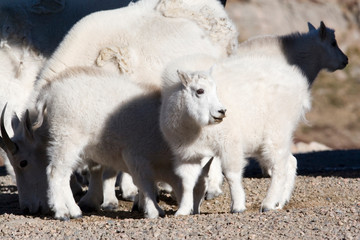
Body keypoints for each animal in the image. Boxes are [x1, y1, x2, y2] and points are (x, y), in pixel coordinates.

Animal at [0, 67, 212, 219]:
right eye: (22, 163)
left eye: (204, 188)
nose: (27, 208)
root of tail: (47, 95)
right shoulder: (135, 155)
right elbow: (144, 183)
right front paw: (154, 211)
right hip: (66, 139)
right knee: (55, 172)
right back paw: (63, 212)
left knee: (64, 173)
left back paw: (74, 211)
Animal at [159, 22, 348, 214]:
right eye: (199, 91)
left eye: (216, 89)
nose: (222, 111)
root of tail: (299, 85)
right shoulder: (187, 154)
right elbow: (187, 182)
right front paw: (182, 211)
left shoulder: (229, 143)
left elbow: (232, 174)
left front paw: (237, 206)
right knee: (288, 162)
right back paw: (279, 202)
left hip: (277, 131)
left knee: (281, 166)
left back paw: (269, 203)